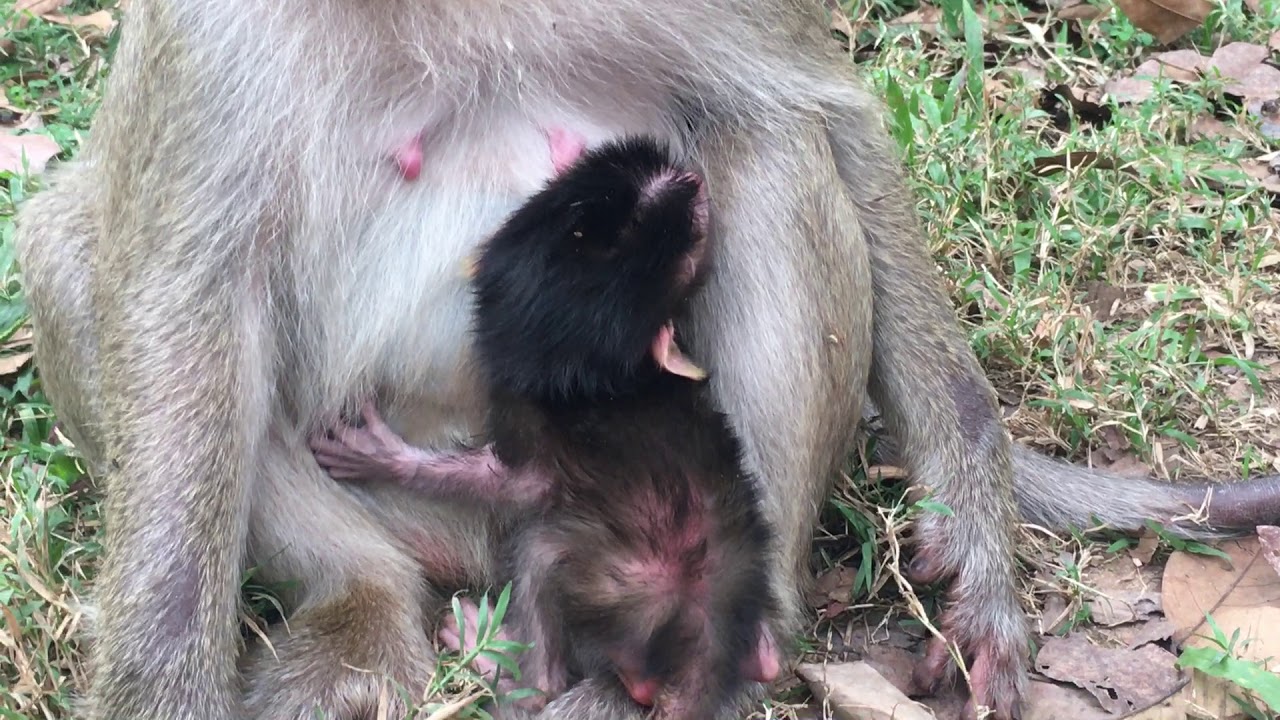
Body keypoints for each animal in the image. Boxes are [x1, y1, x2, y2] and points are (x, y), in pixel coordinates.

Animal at [312, 134, 781, 718]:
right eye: (594, 217)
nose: (689, 182)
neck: (598, 383)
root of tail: (704, 635)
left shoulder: (535, 432)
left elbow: (509, 484)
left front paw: (379, 456)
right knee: (768, 660)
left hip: (588, 570)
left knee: (542, 641)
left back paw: (486, 649)